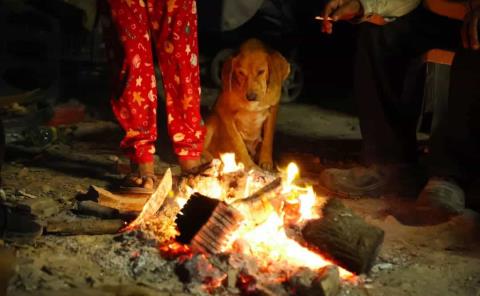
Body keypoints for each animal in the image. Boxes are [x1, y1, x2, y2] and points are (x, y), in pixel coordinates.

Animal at [202, 39, 288, 170]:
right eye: (241, 73)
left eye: (261, 71)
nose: (251, 96)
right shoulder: (224, 111)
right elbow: (237, 142)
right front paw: (248, 164)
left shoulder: (273, 108)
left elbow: (268, 139)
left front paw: (266, 161)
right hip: (213, 120)